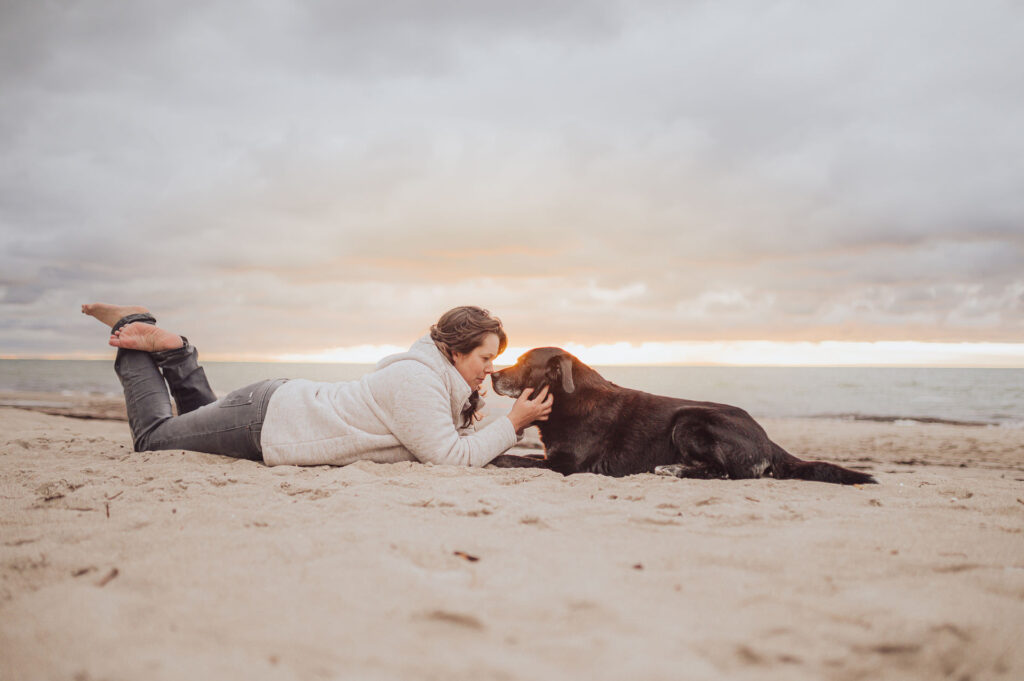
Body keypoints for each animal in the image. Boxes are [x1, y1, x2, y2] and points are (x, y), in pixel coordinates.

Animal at [491, 348, 876, 485]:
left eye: (524, 363)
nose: (492, 376)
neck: (568, 401)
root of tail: (768, 440)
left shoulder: (564, 465)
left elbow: (511, 459)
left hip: (690, 420)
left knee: (726, 473)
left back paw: (673, 469)